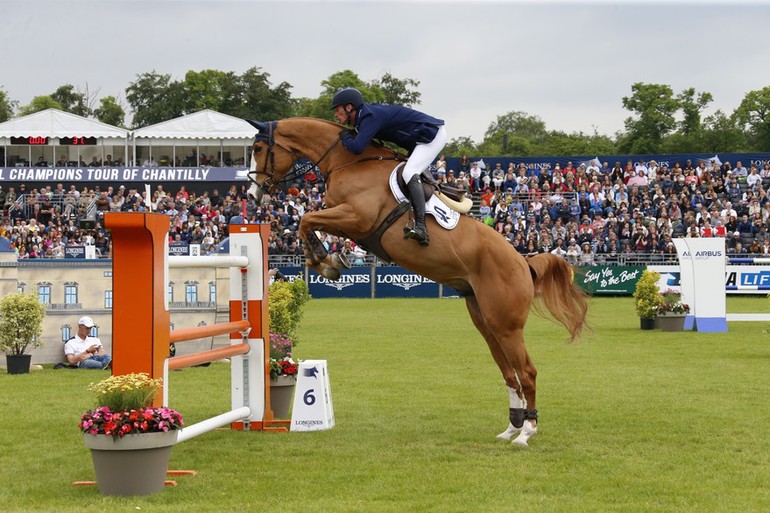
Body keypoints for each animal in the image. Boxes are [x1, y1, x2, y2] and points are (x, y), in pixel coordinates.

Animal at [249, 116, 584, 444]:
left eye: (257, 148)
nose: (253, 194)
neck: (347, 161)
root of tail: (522, 262)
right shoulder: (347, 221)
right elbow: (309, 224)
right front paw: (327, 261)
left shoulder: (356, 217)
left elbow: (307, 219)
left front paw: (325, 260)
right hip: (486, 322)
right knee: (509, 372)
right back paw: (512, 427)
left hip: (506, 325)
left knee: (526, 371)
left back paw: (527, 431)